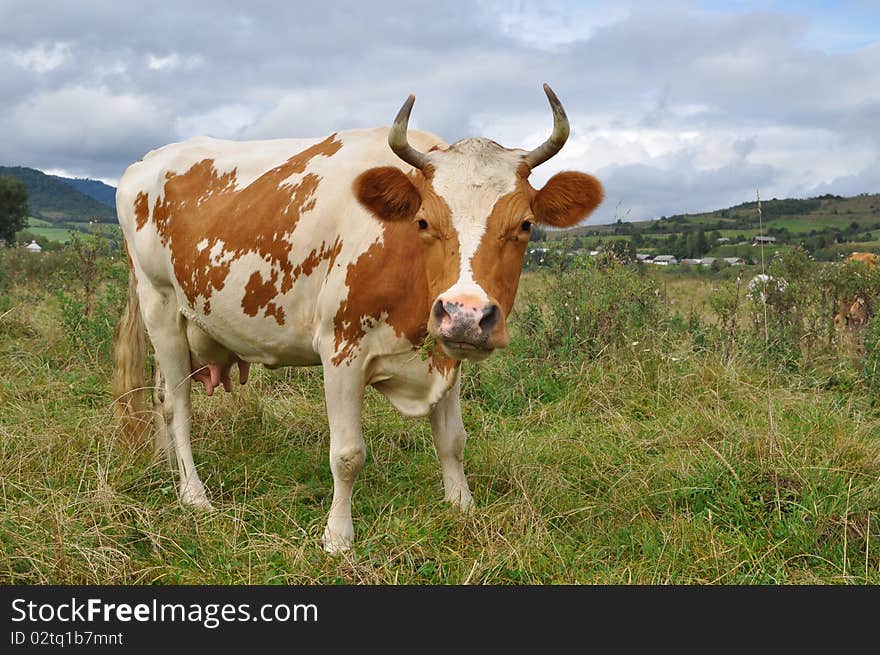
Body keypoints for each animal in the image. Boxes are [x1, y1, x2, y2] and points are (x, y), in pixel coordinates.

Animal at [111, 84, 604, 552]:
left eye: (524, 225)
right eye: (423, 222)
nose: (465, 314)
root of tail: (146, 161)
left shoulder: (446, 353)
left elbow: (453, 440)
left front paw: (462, 506)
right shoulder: (341, 350)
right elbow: (347, 455)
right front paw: (337, 536)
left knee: (160, 395)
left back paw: (167, 466)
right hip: (158, 305)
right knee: (177, 406)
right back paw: (193, 493)